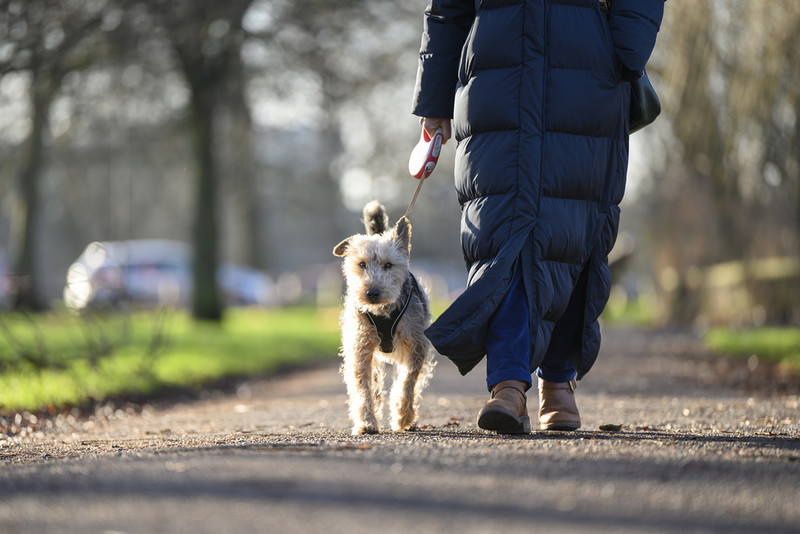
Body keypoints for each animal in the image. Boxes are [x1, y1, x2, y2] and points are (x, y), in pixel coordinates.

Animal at [334, 201, 440, 436]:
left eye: (389, 265)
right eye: (362, 264)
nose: (372, 293)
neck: (382, 311)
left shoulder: (416, 345)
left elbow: (407, 382)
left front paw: (403, 417)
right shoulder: (361, 347)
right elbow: (363, 387)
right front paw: (366, 422)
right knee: (374, 384)